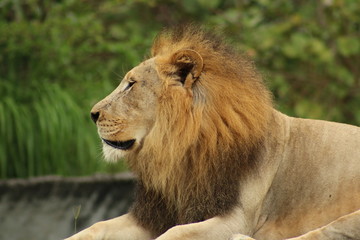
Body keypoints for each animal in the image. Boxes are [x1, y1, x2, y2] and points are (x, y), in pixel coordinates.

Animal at [64, 25, 360, 239]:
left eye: (131, 84)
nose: (92, 114)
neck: (179, 151)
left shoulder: (238, 217)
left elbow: (175, 233)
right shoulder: (157, 213)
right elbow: (96, 227)